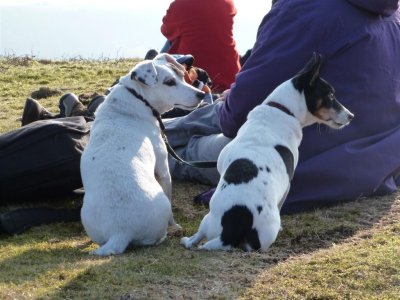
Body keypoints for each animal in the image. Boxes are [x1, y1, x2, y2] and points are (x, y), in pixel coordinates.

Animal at [81, 54, 206, 255]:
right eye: (169, 82)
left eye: (180, 76)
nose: (201, 94)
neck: (138, 98)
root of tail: (120, 232)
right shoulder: (163, 168)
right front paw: (175, 225)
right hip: (161, 205)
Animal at [180, 53, 354, 251]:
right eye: (331, 96)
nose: (351, 116)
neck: (282, 109)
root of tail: (234, 222)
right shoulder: (287, 185)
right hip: (264, 235)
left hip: (208, 219)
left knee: (199, 236)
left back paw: (188, 241)